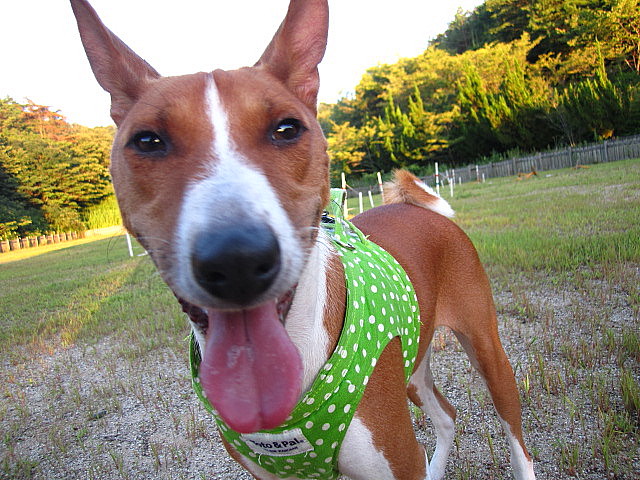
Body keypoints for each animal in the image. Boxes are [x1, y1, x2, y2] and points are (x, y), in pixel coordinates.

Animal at [70, 0, 536, 478]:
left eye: (287, 129)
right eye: (147, 141)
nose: (237, 259)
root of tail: (419, 208)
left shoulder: (395, 457)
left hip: (486, 348)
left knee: (513, 431)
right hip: (413, 364)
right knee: (446, 416)